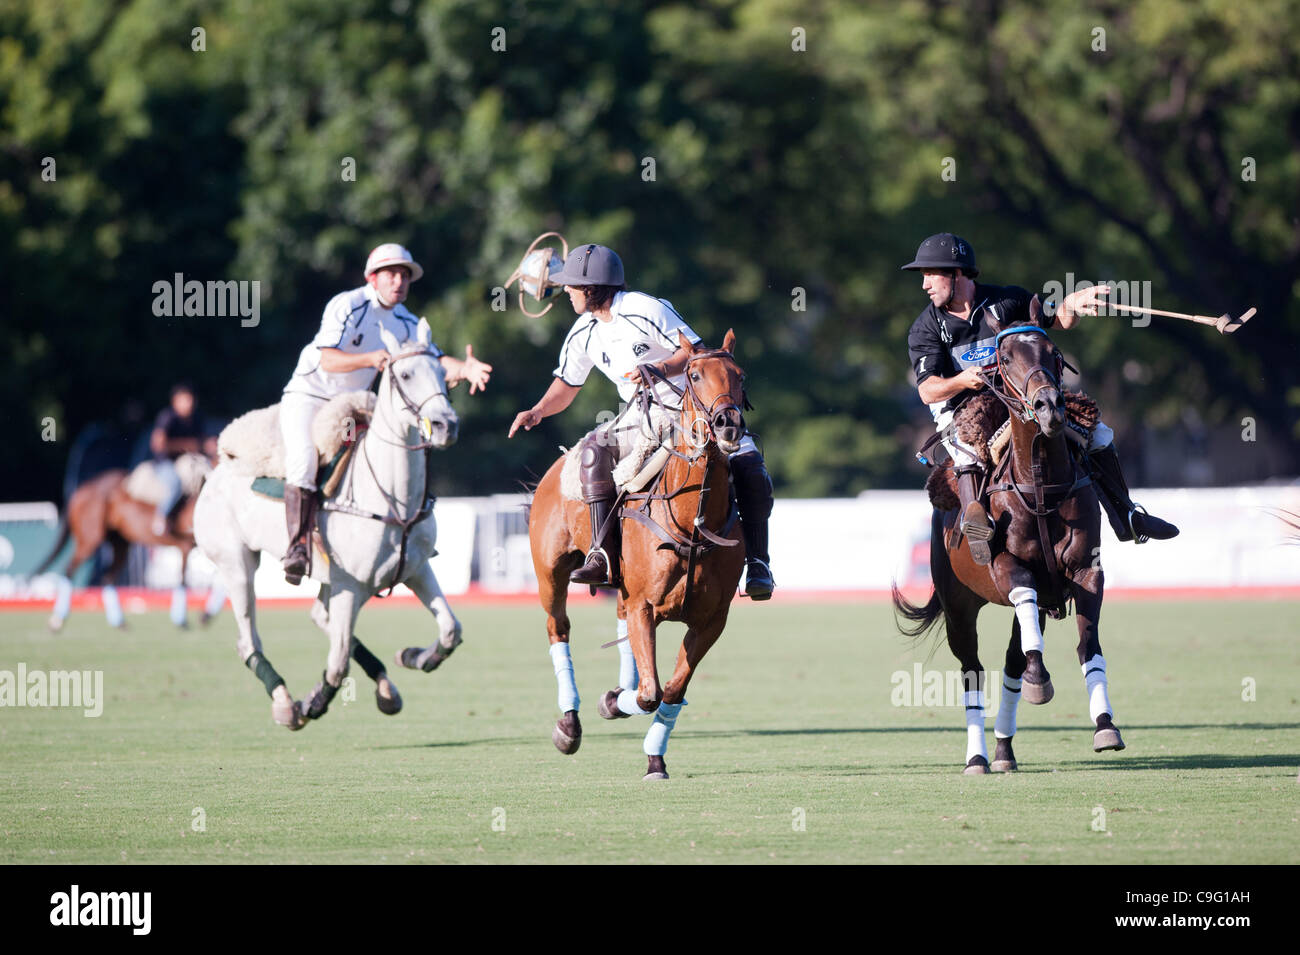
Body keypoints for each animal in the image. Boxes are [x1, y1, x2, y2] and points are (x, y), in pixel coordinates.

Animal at [32, 467, 222, 631]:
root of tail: (82, 489)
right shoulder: (185, 546)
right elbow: (183, 580)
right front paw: (183, 620)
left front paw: (204, 616)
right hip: (90, 539)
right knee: (70, 569)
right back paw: (57, 620)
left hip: (120, 543)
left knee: (107, 577)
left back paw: (119, 622)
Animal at [197, 320, 467, 732]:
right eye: (405, 374)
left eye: (442, 373)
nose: (445, 426)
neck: (394, 499)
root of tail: (214, 470)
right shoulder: (349, 585)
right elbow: (338, 664)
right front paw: (312, 704)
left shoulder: (415, 569)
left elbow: (451, 630)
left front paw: (414, 656)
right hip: (236, 563)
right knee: (250, 640)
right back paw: (285, 704)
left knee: (320, 617)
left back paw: (386, 689)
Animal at [530, 328, 754, 779]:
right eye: (695, 375)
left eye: (741, 375)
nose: (728, 424)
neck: (692, 521)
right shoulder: (645, 606)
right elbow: (650, 693)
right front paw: (612, 703)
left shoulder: (711, 621)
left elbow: (672, 689)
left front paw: (654, 757)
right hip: (550, 574)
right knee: (558, 628)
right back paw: (569, 724)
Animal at [894, 324, 1128, 774]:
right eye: (1004, 359)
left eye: (1055, 352)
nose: (1049, 407)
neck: (1040, 482)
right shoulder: (1006, 568)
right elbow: (1020, 589)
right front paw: (1041, 682)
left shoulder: (1087, 572)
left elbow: (1088, 646)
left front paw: (1106, 725)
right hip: (958, 606)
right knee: (972, 670)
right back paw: (978, 758)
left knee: (1013, 662)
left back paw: (1004, 751)